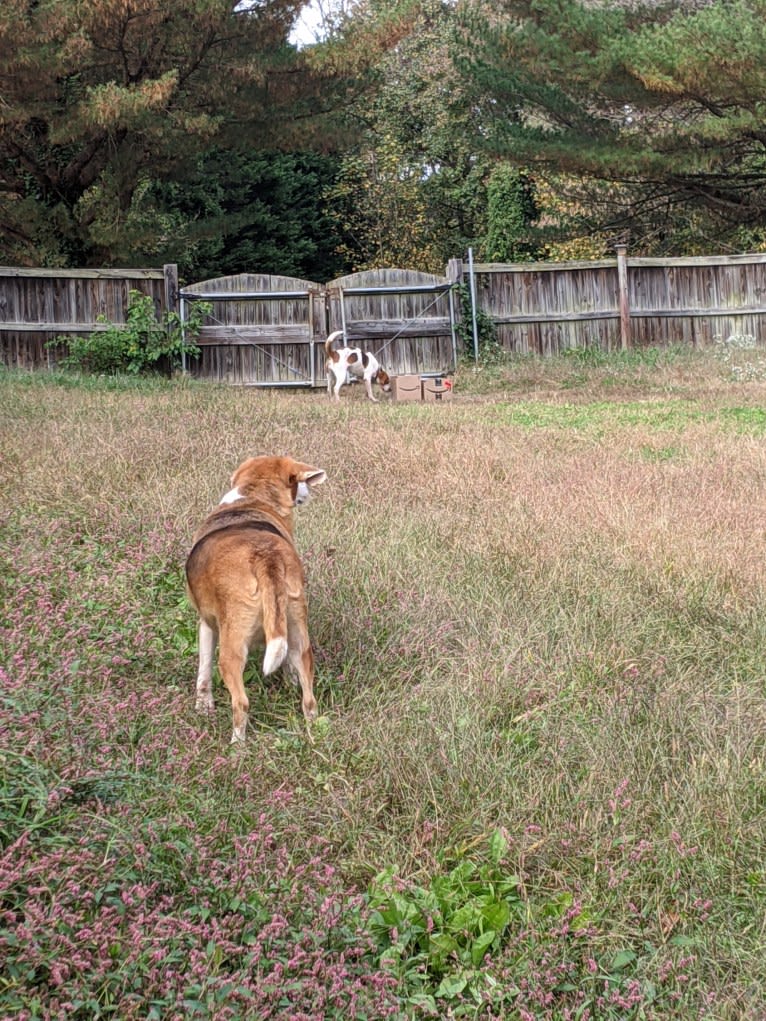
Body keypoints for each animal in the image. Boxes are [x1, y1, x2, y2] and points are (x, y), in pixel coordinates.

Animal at [188, 459, 330, 747]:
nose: (309, 491)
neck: (252, 498)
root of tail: (266, 556)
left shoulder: (206, 624)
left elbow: (203, 670)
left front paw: (203, 707)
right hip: (299, 634)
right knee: (309, 700)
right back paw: (313, 735)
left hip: (231, 650)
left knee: (241, 703)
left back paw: (236, 747)